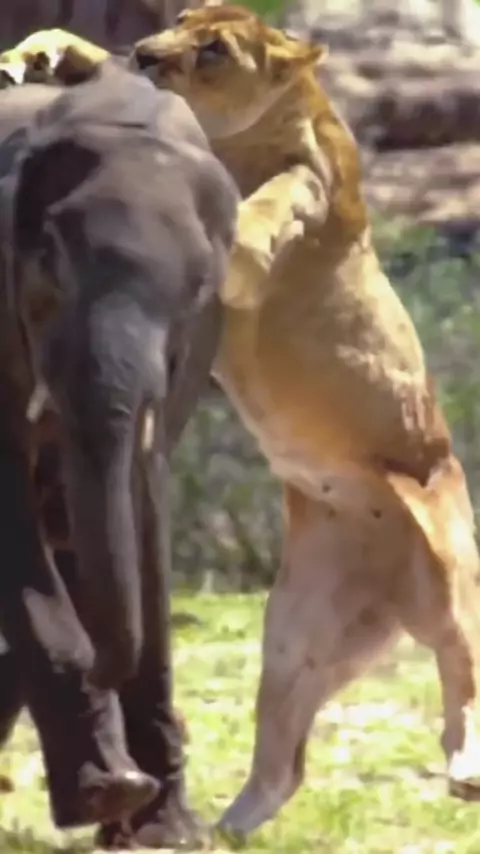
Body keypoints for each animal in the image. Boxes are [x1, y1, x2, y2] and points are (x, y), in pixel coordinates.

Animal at [0, 57, 238, 846]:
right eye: (47, 262)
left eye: (199, 290)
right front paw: (107, 795)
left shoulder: (195, 352)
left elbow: (142, 498)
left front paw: (161, 833)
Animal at [129, 5, 480, 840]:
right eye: (179, 19)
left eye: (213, 50)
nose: (143, 53)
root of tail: (395, 596)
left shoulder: (275, 223)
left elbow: (261, 203)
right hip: (293, 637)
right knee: (283, 767)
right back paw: (220, 832)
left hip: (452, 570)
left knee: (464, 679)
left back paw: (465, 768)